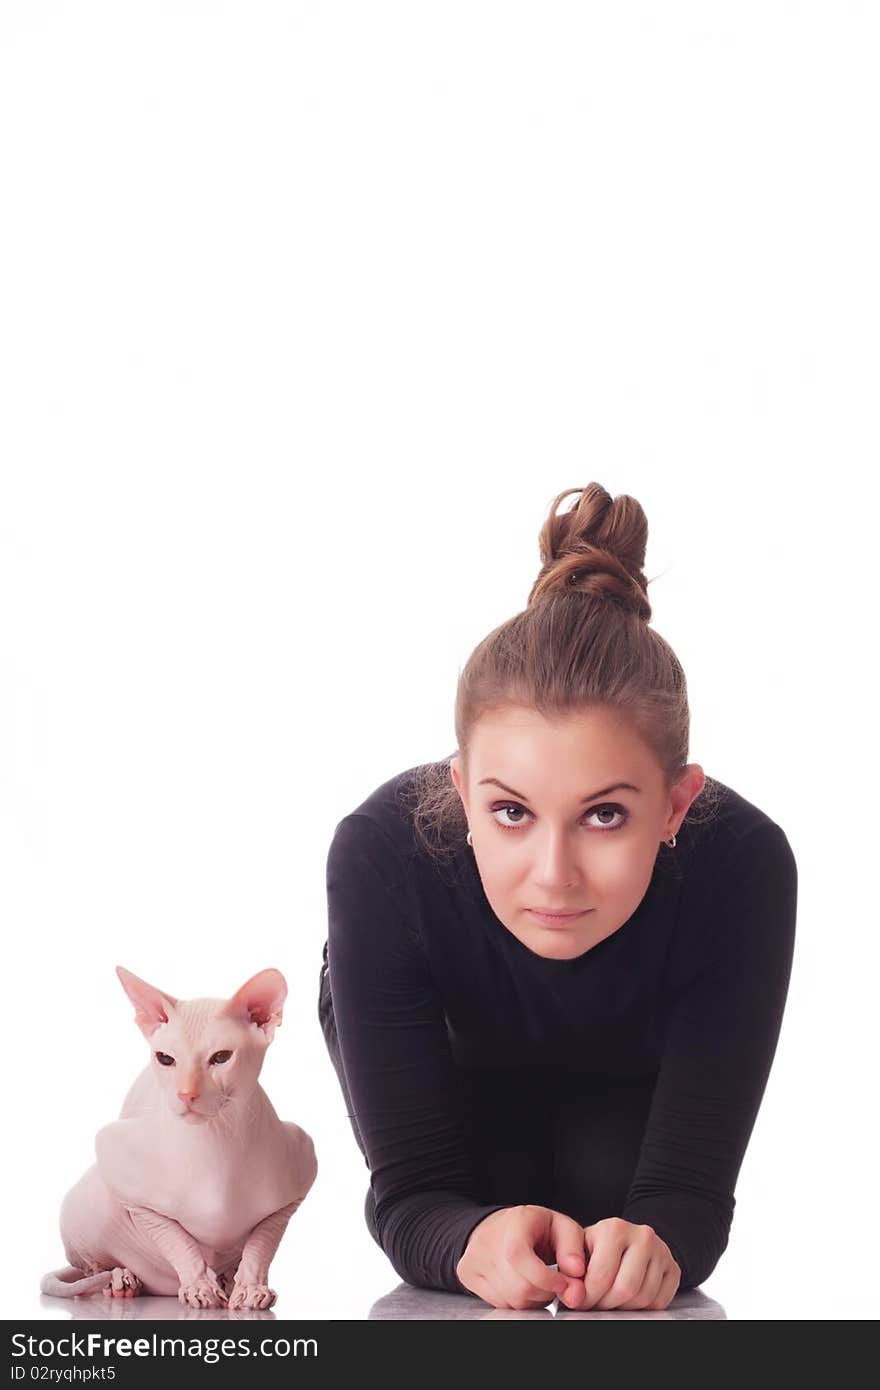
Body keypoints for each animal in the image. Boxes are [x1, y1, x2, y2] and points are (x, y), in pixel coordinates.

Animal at [41, 967, 316, 1301]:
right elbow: (175, 1238)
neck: (216, 1140)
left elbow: (262, 1243)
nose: (186, 1094)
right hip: (88, 1202)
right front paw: (199, 1286)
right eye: (165, 1059)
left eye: (221, 1057)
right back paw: (121, 1278)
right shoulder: (118, 1165)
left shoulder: (298, 1175)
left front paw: (251, 1289)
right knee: (90, 1267)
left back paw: (227, 1279)